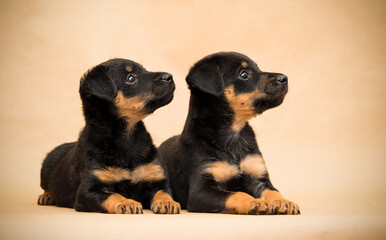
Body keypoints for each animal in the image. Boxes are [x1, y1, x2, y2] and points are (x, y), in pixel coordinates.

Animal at [37, 58, 181, 214]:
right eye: (130, 78)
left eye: (145, 69)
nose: (169, 77)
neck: (127, 138)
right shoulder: (87, 191)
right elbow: (112, 195)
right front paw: (127, 203)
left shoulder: (156, 180)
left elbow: (163, 192)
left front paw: (167, 202)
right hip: (45, 168)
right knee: (46, 187)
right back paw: (46, 196)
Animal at [158, 51, 300, 215]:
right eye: (244, 74)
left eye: (258, 68)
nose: (284, 78)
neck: (234, 133)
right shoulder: (200, 191)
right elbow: (236, 193)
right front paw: (254, 202)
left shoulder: (259, 179)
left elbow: (273, 191)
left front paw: (284, 202)